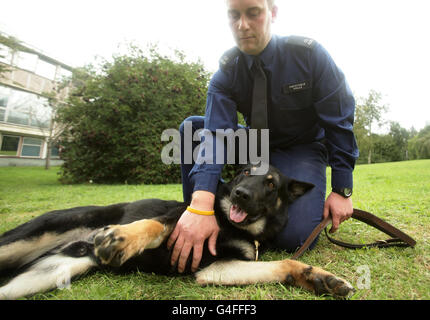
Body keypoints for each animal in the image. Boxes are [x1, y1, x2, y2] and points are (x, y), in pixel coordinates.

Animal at [0, 165, 354, 300]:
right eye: (243, 172)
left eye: (270, 184)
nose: (239, 194)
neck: (234, 224)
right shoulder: (179, 223)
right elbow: (154, 225)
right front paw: (122, 239)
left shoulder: (216, 269)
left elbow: (284, 265)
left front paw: (320, 279)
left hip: (43, 275)